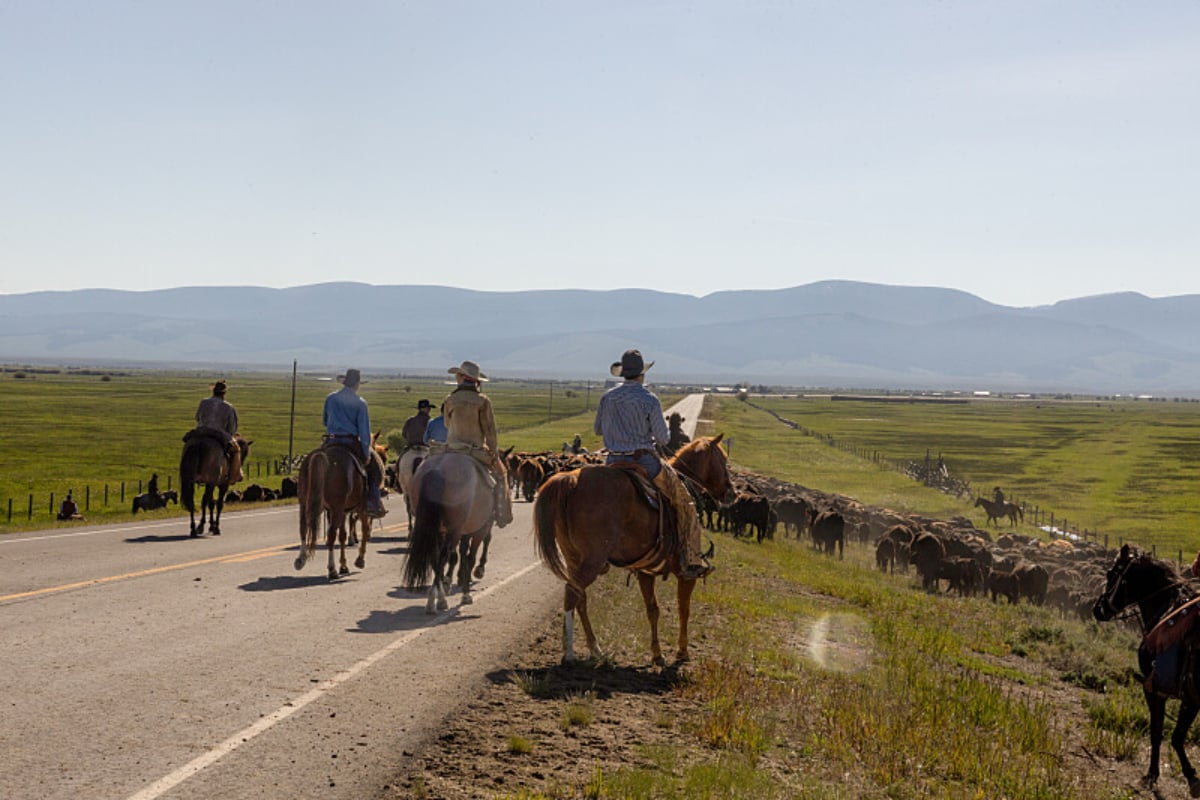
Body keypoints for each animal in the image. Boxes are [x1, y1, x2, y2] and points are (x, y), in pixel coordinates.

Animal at [294, 443, 369, 582]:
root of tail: (322, 454)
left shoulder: (341, 511)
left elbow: (343, 535)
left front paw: (344, 565)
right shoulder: (360, 507)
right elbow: (364, 529)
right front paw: (359, 560)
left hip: (304, 503)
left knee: (303, 528)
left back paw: (301, 559)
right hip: (337, 508)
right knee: (331, 534)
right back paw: (332, 569)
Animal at [400, 453, 494, 618]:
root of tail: (437, 470)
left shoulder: (463, 532)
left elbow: (462, 554)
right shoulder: (481, 528)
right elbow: (470, 557)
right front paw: (466, 593)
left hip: (435, 527)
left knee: (435, 556)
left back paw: (440, 596)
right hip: (454, 529)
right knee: (444, 555)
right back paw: (435, 600)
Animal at [532, 434, 729, 666]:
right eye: (723, 460)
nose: (731, 492)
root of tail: (569, 481)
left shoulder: (646, 571)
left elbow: (653, 610)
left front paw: (657, 654)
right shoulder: (686, 573)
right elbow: (684, 609)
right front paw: (682, 652)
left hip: (573, 558)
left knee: (580, 598)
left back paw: (595, 649)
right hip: (591, 562)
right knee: (572, 593)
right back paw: (569, 653)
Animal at [1099, 544, 1200, 796]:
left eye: (1111, 574)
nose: (1098, 609)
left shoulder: (1155, 689)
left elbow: (1161, 733)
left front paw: (1155, 774)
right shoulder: (1191, 699)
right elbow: (1174, 735)